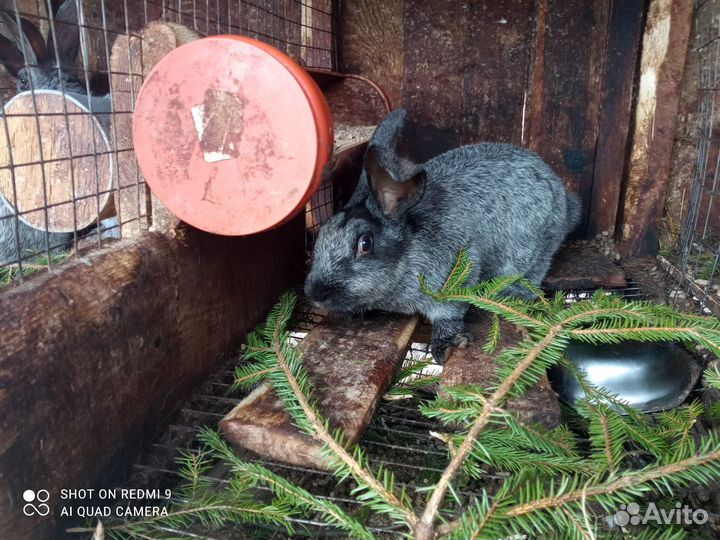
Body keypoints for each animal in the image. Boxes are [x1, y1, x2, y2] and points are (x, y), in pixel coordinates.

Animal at [305, 108, 581, 364]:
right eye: (323, 232)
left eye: (365, 243)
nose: (315, 294)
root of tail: (566, 202)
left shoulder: (455, 273)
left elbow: (448, 312)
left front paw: (446, 345)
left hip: (531, 251)